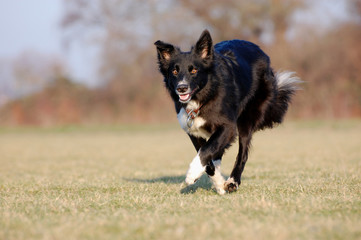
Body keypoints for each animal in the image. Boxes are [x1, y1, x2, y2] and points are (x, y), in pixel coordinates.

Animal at [153, 30, 300, 195]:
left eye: (194, 70)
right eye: (174, 71)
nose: (182, 88)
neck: (205, 96)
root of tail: (260, 50)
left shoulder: (228, 126)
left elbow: (207, 150)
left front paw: (192, 173)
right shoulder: (193, 131)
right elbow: (208, 158)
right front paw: (217, 183)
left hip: (246, 120)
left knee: (242, 154)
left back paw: (232, 182)